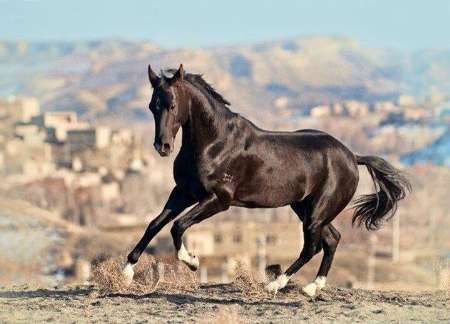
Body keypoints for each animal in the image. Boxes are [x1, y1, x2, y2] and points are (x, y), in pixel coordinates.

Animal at [123, 63, 412, 296]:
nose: (163, 146)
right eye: (152, 107)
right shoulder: (183, 192)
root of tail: (352, 156)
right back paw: (312, 287)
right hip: (305, 208)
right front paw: (127, 271)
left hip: (317, 212)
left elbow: (177, 225)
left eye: (172, 105)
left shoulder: (218, 200)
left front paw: (192, 261)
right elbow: (154, 224)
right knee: (332, 239)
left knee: (312, 246)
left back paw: (275, 285)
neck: (214, 143)